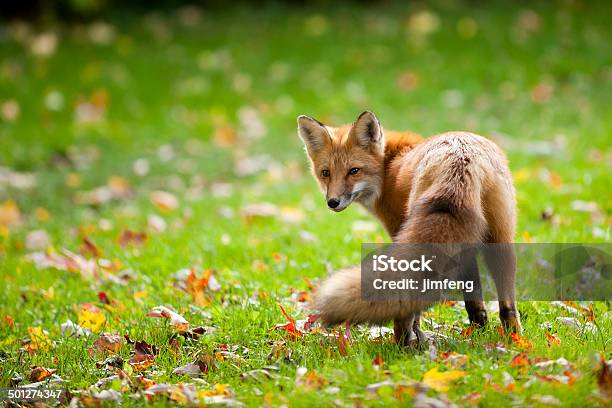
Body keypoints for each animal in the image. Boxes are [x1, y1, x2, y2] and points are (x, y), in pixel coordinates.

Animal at [298, 111, 520, 344]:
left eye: (354, 171)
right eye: (326, 173)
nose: (333, 202)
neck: (387, 168)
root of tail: (461, 156)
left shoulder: (398, 228)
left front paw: (416, 334)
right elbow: (474, 297)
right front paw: (479, 328)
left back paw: (401, 342)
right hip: (502, 241)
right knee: (508, 306)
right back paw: (513, 339)